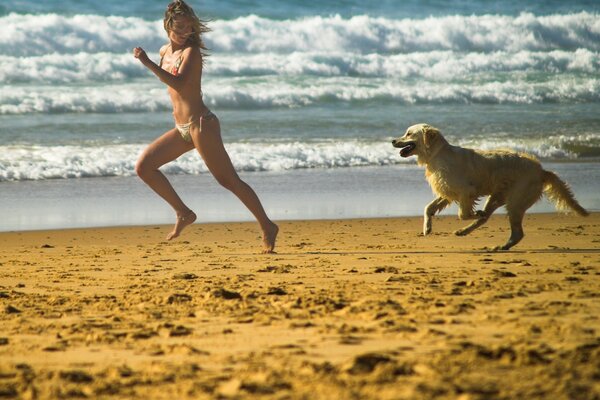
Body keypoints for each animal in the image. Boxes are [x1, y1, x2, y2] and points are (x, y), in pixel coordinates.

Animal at [392, 123, 588, 250]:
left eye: (408, 133)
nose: (393, 141)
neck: (438, 154)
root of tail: (541, 171)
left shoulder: (466, 191)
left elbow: (463, 214)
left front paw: (473, 213)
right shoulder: (448, 190)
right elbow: (428, 208)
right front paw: (427, 228)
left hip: (515, 201)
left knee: (516, 232)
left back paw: (500, 245)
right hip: (497, 196)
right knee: (488, 219)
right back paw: (466, 231)